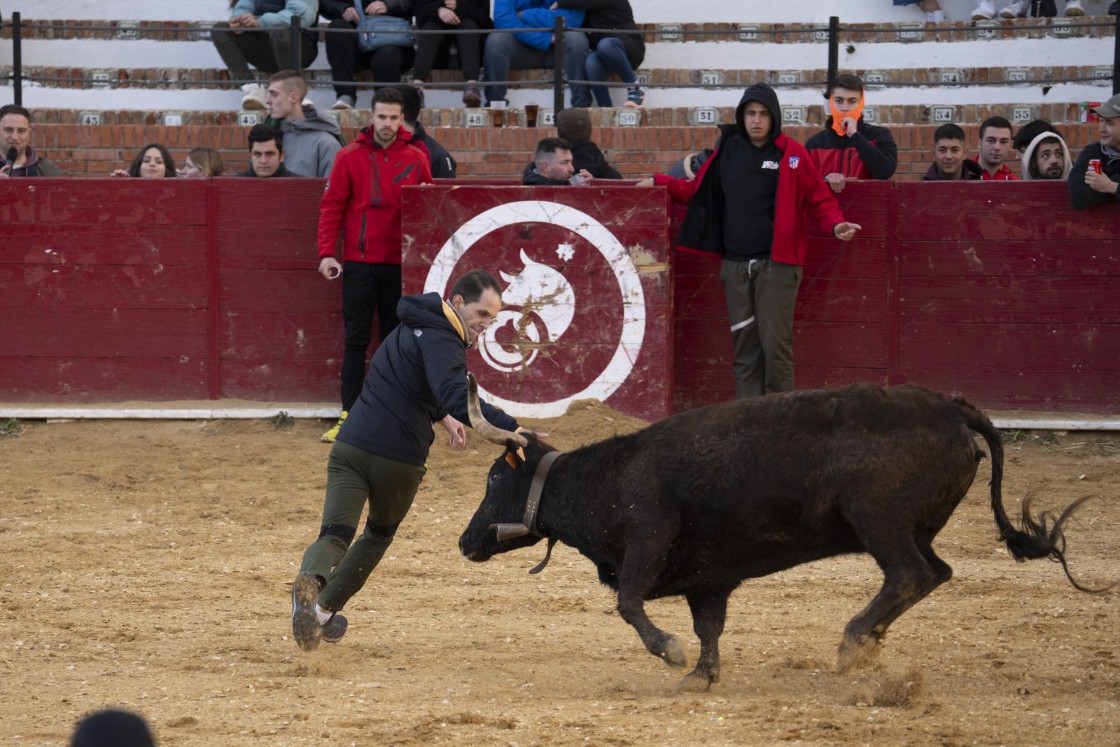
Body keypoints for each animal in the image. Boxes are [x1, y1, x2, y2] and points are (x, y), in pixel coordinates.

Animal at [454, 376, 1102, 694]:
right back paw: (870, 642)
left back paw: (853, 643)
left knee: (910, 573)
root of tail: (950, 407)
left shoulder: (647, 541)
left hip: (879, 519)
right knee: (932, 573)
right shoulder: (708, 580)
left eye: (493, 478)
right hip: (910, 527)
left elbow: (631, 605)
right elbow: (708, 627)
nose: (465, 542)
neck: (608, 478)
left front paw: (671, 654)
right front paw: (701, 675)